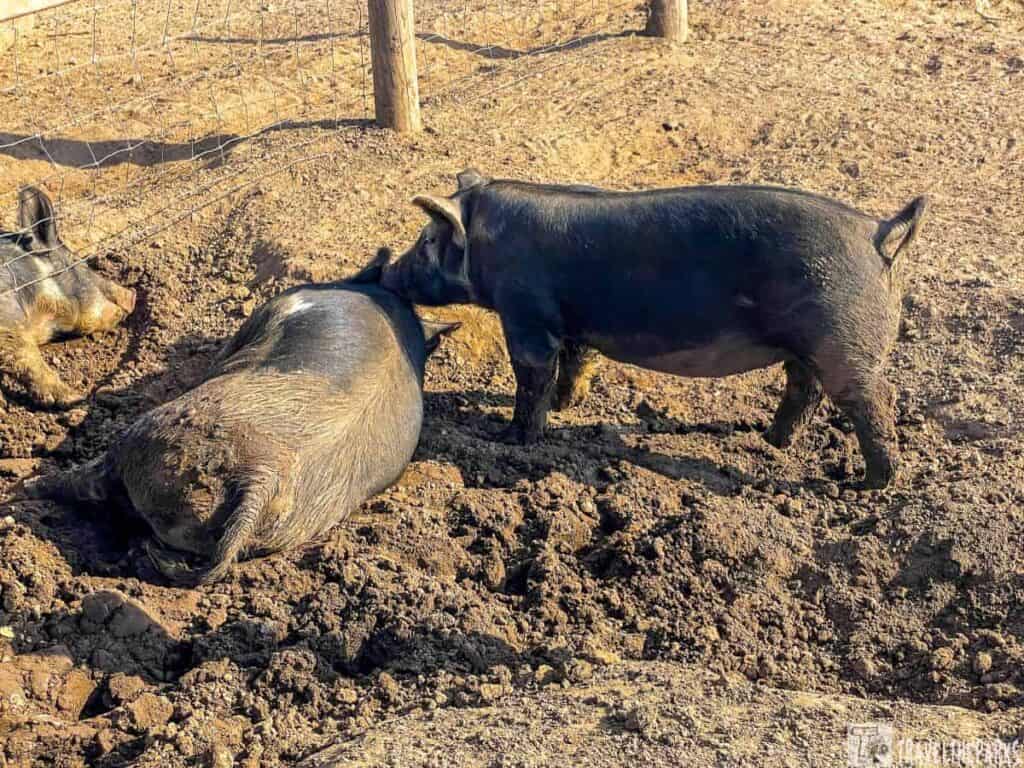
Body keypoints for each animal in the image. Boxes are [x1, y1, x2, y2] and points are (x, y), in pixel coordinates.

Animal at [377, 169, 928, 489]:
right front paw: (567, 406)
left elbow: (531, 376)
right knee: (803, 390)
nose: (388, 273)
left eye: (426, 241)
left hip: (845, 341)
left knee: (872, 403)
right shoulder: (573, 319)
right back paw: (771, 442)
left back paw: (869, 485)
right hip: (808, 345)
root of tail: (879, 233)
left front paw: (510, 437)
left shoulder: (526, 313)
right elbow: (577, 362)